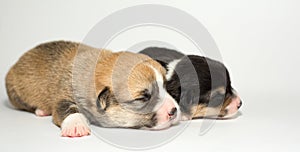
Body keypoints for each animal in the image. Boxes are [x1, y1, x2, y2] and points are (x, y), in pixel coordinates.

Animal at [5, 41, 180, 137]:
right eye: (143, 98)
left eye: (165, 86)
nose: (174, 110)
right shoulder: (63, 96)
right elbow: (67, 108)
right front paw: (76, 125)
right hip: (15, 91)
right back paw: (41, 110)